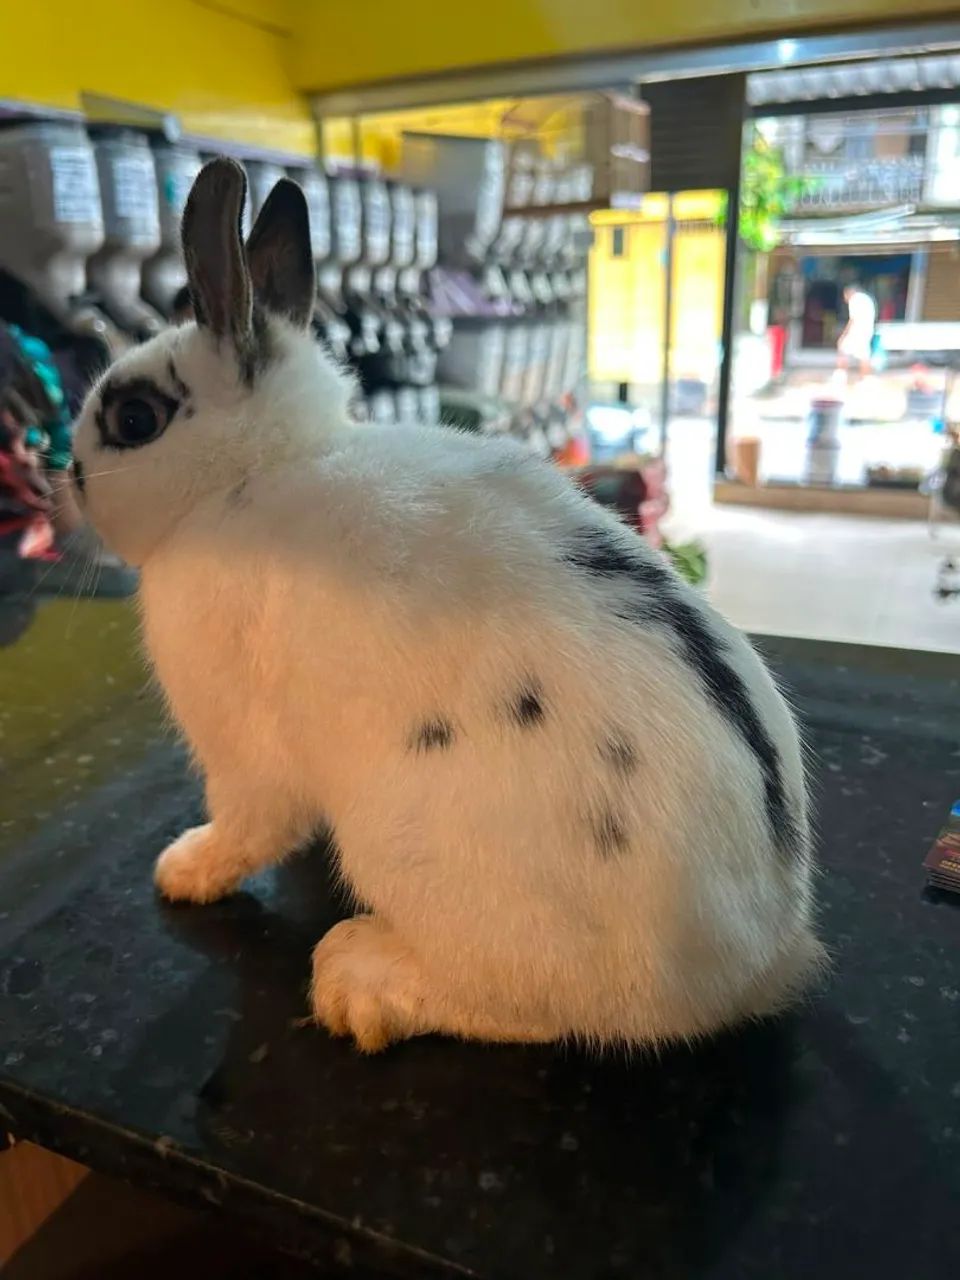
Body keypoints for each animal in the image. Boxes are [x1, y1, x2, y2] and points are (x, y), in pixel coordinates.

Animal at [72, 159, 823, 1053]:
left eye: (134, 417)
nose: (68, 478)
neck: (255, 473)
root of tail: (752, 966)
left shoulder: (241, 749)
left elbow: (247, 825)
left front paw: (182, 869)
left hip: (425, 863)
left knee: (520, 1002)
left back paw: (358, 981)